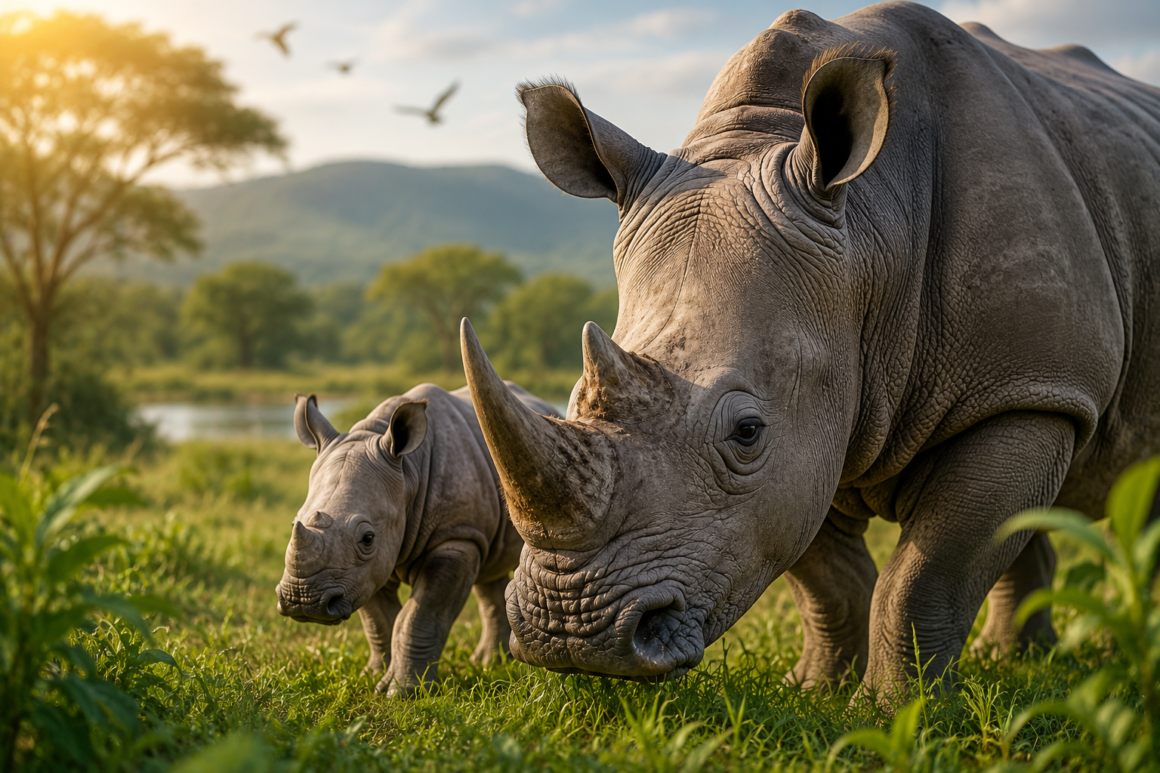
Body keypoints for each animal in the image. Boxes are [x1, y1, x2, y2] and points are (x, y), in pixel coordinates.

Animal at [275, 384, 559, 696]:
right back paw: (490, 663)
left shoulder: (455, 537)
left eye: (367, 538)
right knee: (489, 571)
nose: (303, 600)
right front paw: (373, 676)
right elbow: (379, 620)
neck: (408, 472)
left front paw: (406, 691)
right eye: (294, 522)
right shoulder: (361, 572)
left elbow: (420, 615)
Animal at [458, 1, 1160, 696]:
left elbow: (925, 577)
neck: (871, 230)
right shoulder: (818, 418)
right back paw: (1015, 658)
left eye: (746, 431)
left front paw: (892, 710)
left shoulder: (1026, 388)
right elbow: (825, 576)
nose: (572, 634)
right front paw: (818, 690)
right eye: (573, 400)